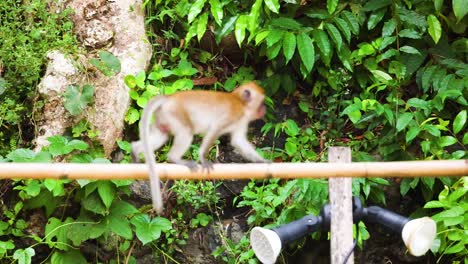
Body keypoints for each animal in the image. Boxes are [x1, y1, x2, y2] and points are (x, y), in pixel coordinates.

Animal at [132, 81, 270, 213]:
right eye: (262, 102)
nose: (264, 108)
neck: (240, 102)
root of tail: (169, 97)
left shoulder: (241, 120)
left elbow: (238, 141)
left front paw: (262, 160)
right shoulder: (233, 114)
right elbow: (214, 130)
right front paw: (203, 159)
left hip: (163, 117)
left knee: (161, 136)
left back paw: (135, 151)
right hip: (174, 114)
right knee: (186, 132)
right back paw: (175, 158)